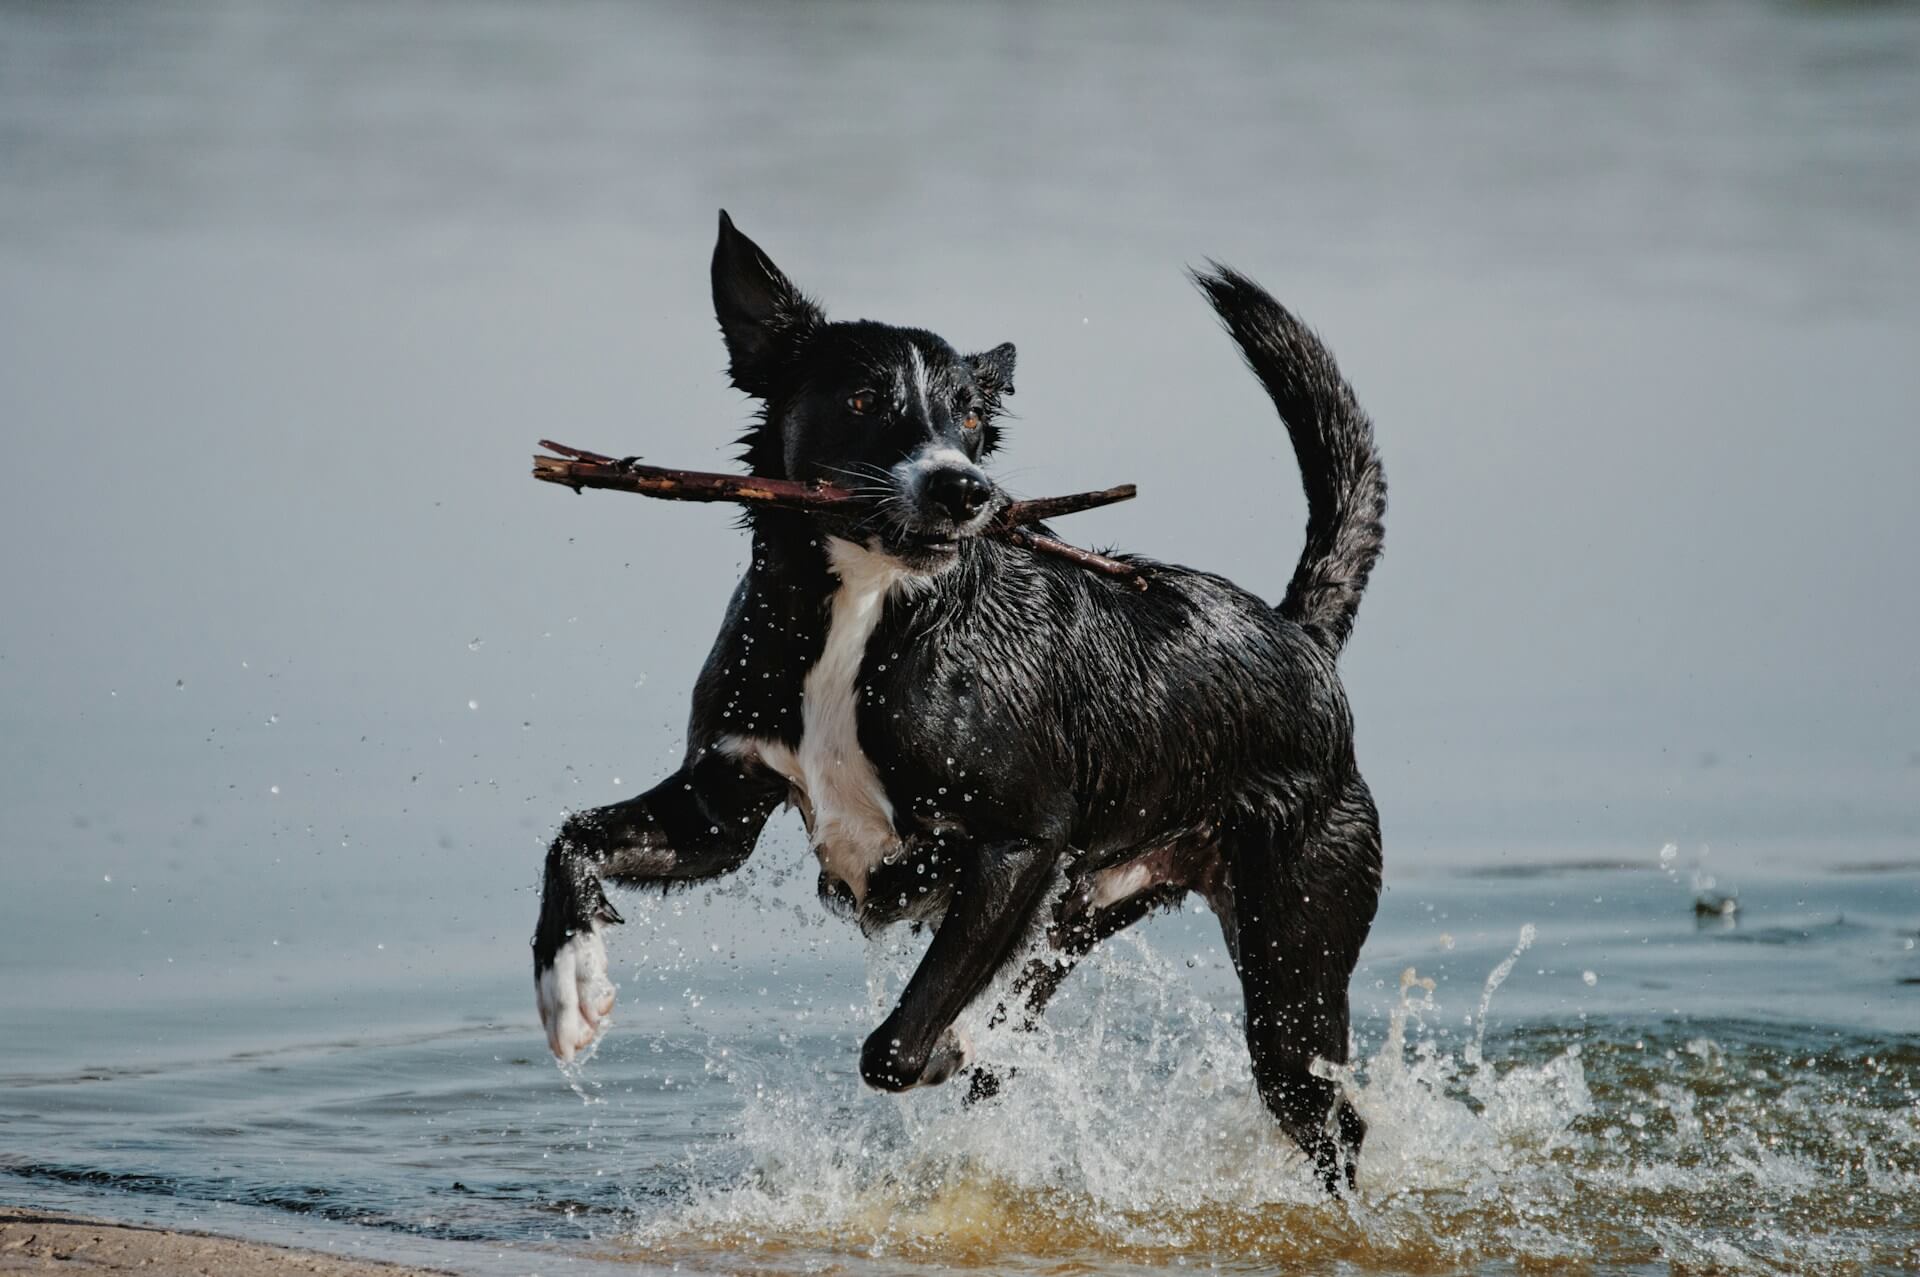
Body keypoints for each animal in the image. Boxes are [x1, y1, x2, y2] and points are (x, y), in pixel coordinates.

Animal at [533, 211, 1390, 1198]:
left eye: (971, 419)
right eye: (863, 399)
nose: (963, 488)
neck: (870, 607)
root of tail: (1300, 638)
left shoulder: (1017, 846)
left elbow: (895, 1046)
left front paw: (943, 1037)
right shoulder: (722, 805)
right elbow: (572, 837)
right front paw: (569, 985)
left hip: (1293, 956)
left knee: (1331, 1117)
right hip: (1082, 913)